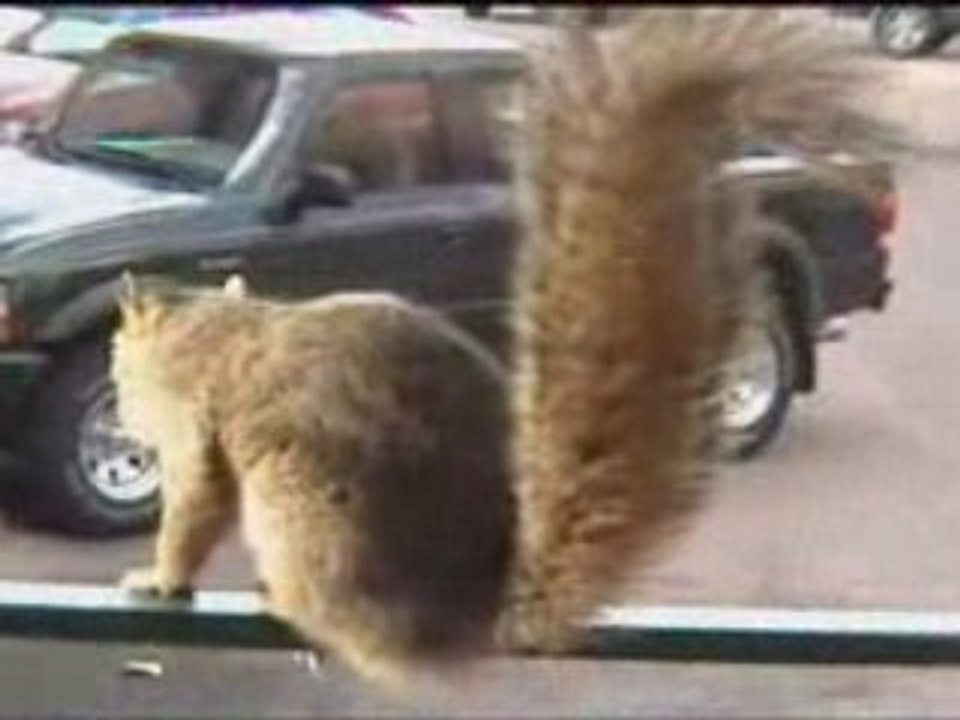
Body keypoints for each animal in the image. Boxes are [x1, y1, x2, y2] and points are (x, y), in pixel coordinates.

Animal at [111, 8, 892, 691]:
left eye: (117, 365)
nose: (118, 416)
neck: (202, 325)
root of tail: (483, 613)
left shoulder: (193, 429)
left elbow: (193, 508)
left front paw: (157, 578)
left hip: (304, 510)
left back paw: (290, 603)